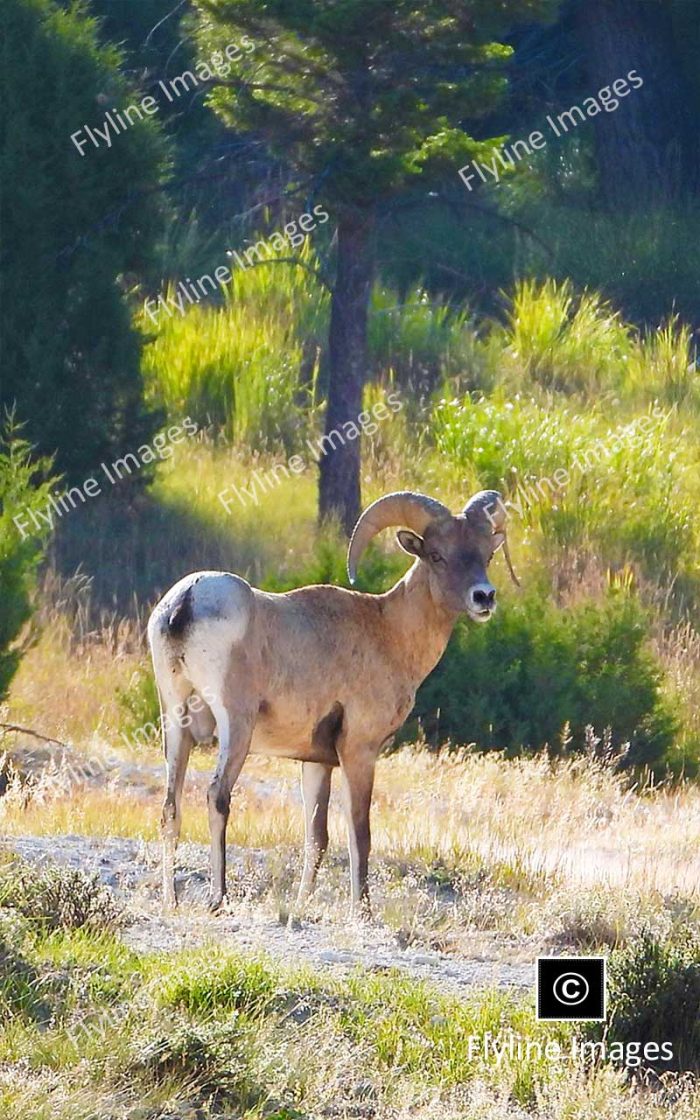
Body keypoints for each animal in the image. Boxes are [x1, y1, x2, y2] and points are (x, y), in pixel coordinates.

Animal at [147, 495, 515, 913]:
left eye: (486, 554)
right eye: (437, 555)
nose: (484, 597)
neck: (390, 633)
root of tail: (186, 602)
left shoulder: (316, 762)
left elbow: (317, 837)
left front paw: (302, 905)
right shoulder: (358, 751)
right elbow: (360, 832)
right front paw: (362, 909)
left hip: (175, 723)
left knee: (170, 809)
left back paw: (171, 901)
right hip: (234, 726)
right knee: (217, 796)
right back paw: (218, 899)